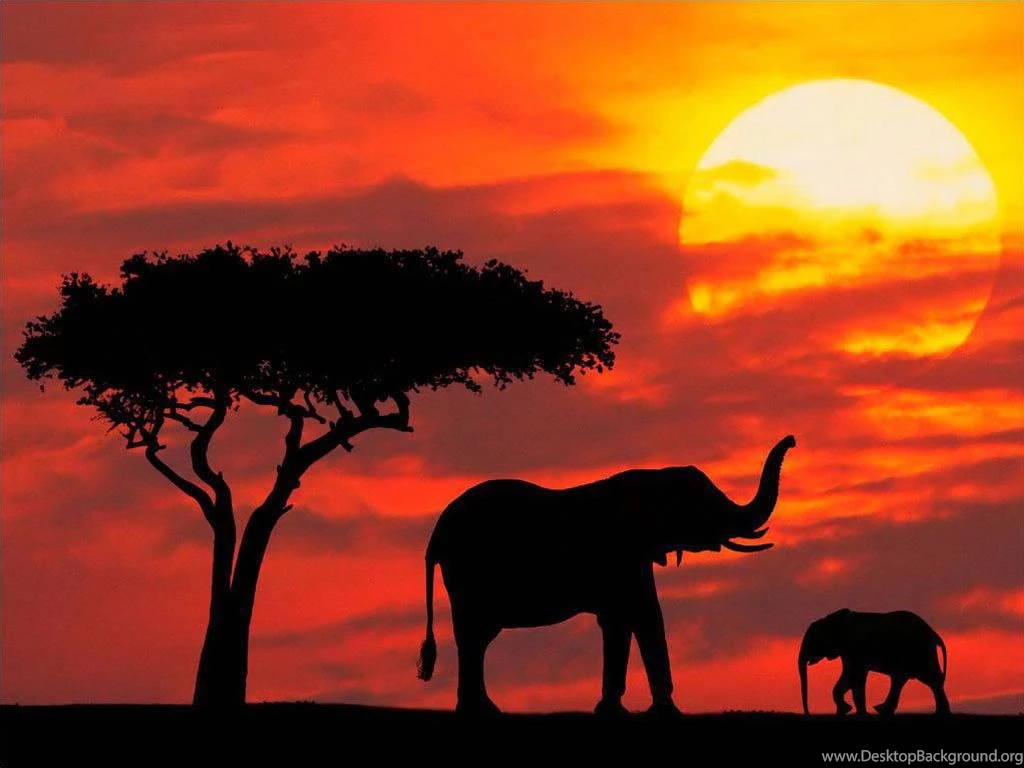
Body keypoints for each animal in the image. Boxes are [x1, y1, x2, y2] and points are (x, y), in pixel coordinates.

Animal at [416, 435, 797, 715]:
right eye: (705, 506)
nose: (792, 439)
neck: (653, 476)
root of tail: (435, 535)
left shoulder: (635, 558)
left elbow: (634, 618)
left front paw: (632, 711)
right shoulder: (620, 556)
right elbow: (634, 617)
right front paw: (647, 713)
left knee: (477, 637)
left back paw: (480, 709)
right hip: (468, 571)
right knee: (475, 634)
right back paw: (479, 711)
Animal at [799, 608, 949, 716]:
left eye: (813, 639)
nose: (807, 713)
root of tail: (934, 633)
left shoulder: (854, 649)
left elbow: (855, 676)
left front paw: (856, 713)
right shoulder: (847, 652)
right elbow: (849, 676)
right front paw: (844, 711)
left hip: (921, 652)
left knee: (929, 679)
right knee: (903, 679)